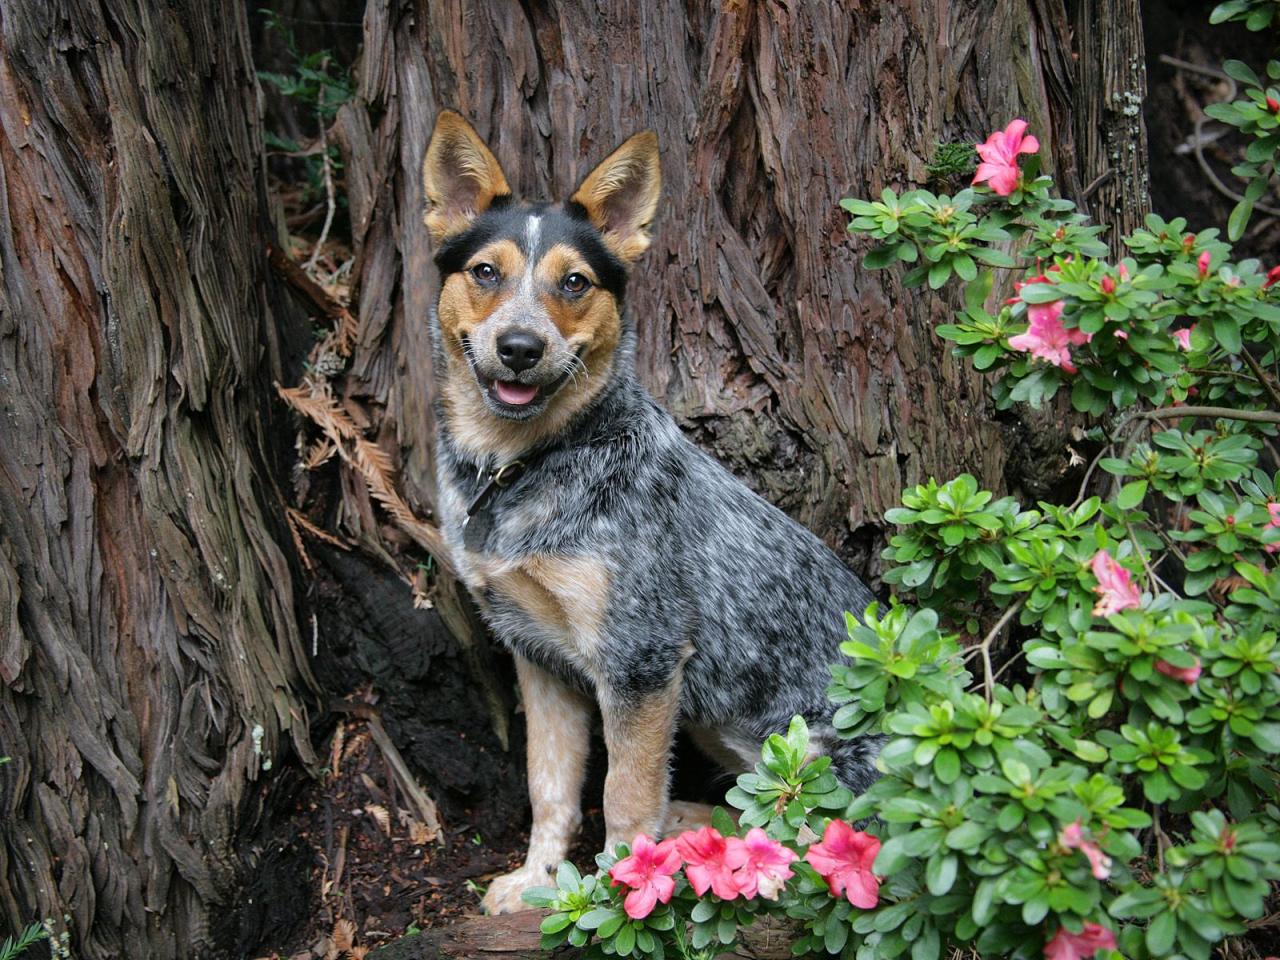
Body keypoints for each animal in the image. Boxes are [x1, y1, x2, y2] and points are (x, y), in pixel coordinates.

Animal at [419, 108, 880, 911]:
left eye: (574, 282)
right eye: (485, 273)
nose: (519, 346)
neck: (520, 467)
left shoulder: (642, 660)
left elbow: (625, 797)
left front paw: (617, 895)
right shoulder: (538, 655)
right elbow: (552, 788)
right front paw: (539, 881)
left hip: (811, 755)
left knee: (804, 836)